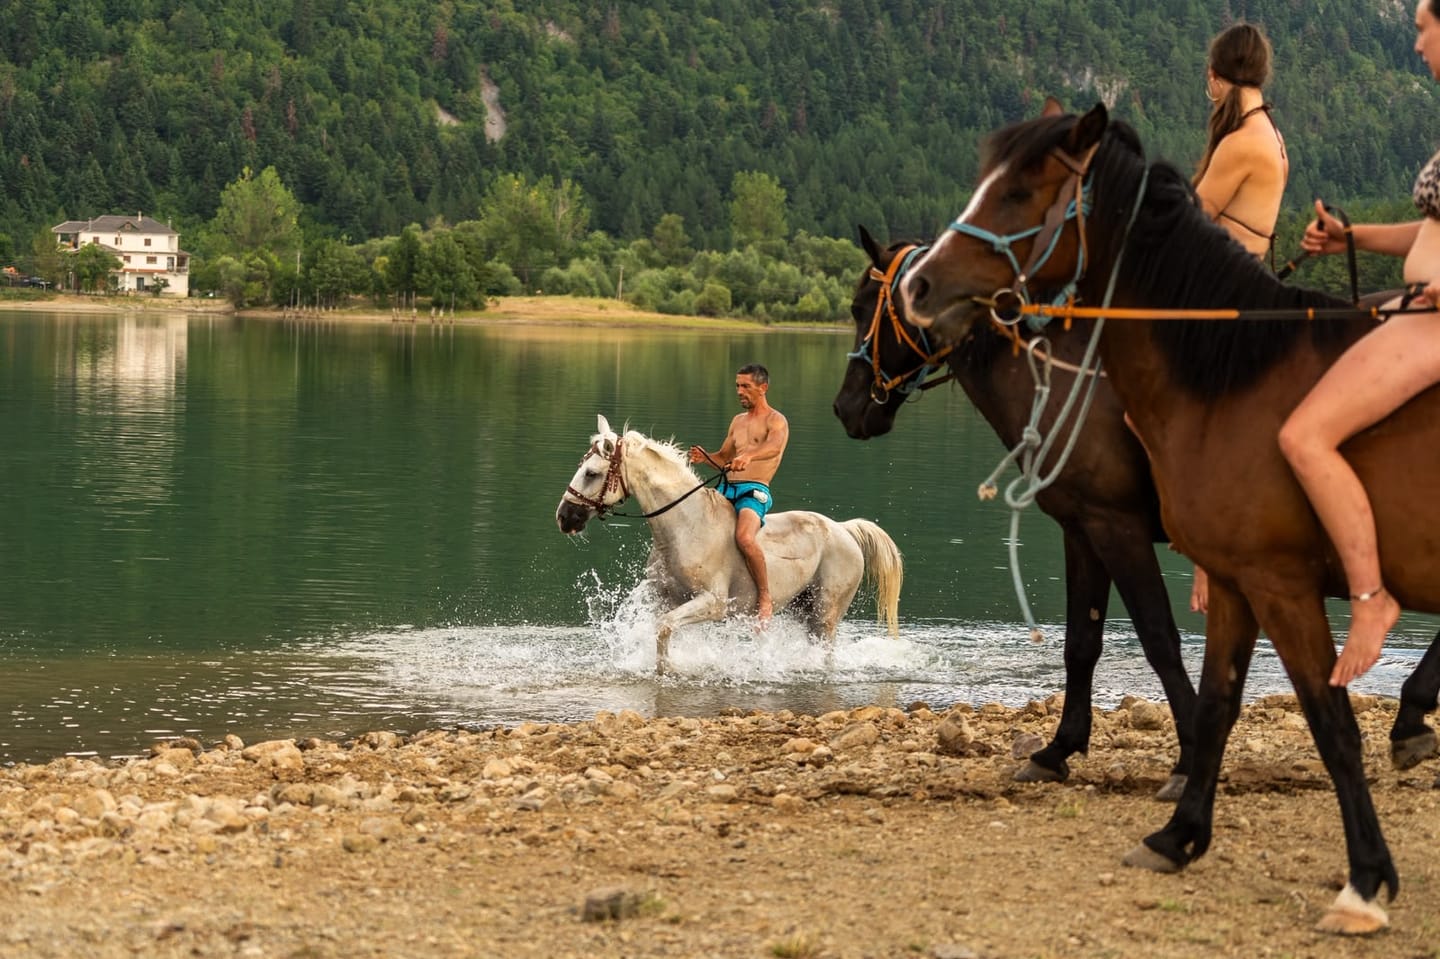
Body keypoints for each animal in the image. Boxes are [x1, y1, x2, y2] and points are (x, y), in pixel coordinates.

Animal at [555, 415, 904, 673]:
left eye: (591, 472)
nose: (564, 517)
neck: (686, 525)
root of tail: (844, 530)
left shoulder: (713, 603)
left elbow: (664, 627)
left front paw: (668, 670)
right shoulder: (663, 596)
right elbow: (653, 627)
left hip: (825, 614)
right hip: (803, 610)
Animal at [833, 226, 1196, 800]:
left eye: (858, 305)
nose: (844, 407)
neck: (1066, 391)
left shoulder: (1120, 530)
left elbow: (1160, 639)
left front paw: (1189, 764)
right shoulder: (1085, 533)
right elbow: (1081, 644)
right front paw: (1058, 750)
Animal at [897, 102, 1440, 935]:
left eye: (1020, 191)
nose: (922, 286)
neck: (1232, 378)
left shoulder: (1268, 580)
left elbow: (1328, 721)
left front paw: (1366, 878)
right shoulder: (1229, 577)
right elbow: (1210, 701)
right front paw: (1179, 833)